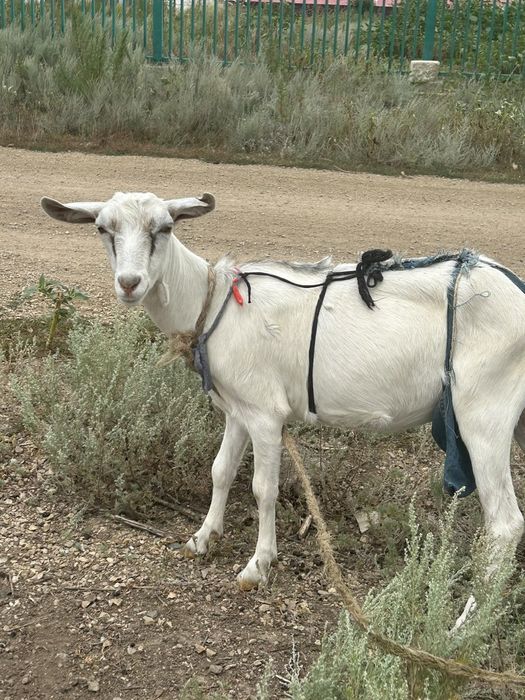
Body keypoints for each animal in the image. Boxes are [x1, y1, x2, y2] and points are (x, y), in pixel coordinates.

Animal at [41, 191, 525, 591]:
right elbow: (220, 470)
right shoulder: (237, 409)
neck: (213, 303)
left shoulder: (264, 413)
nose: (129, 283)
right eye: (103, 229)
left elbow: (262, 488)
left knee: (504, 524)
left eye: (165, 228)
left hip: (483, 412)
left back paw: (466, 620)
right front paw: (202, 538)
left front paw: (258, 565)